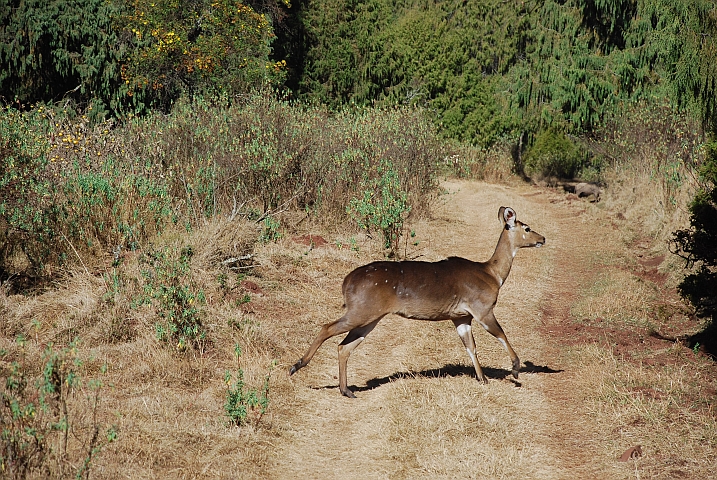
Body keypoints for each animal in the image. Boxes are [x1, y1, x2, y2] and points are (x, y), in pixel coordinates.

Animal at [286, 206, 544, 398]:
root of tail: (346, 282)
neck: (492, 274)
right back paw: (295, 366)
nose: (543, 238)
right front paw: (515, 370)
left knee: (343, 346)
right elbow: (501, 334)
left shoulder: (461, 317)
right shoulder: (482, 309)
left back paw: (347, 390)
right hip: (361, 311)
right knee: (327, 328)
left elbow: (471, 347)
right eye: (527, 227)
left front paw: (483, 379)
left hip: (370, 317)